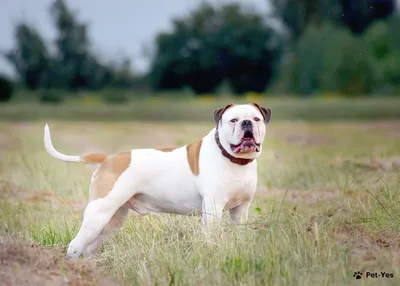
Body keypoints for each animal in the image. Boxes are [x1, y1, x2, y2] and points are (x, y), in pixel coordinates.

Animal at [43, 103, 270, 260]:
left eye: (256, 119)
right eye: (233, 120)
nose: (247, 123)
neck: (234, 160)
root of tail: (108, 158)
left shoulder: (240, 209)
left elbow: (238, 232)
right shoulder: (213, 208)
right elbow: (210, 235)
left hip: (112, 219)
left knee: (90, 246)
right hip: (99, 213)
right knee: (75, 244)